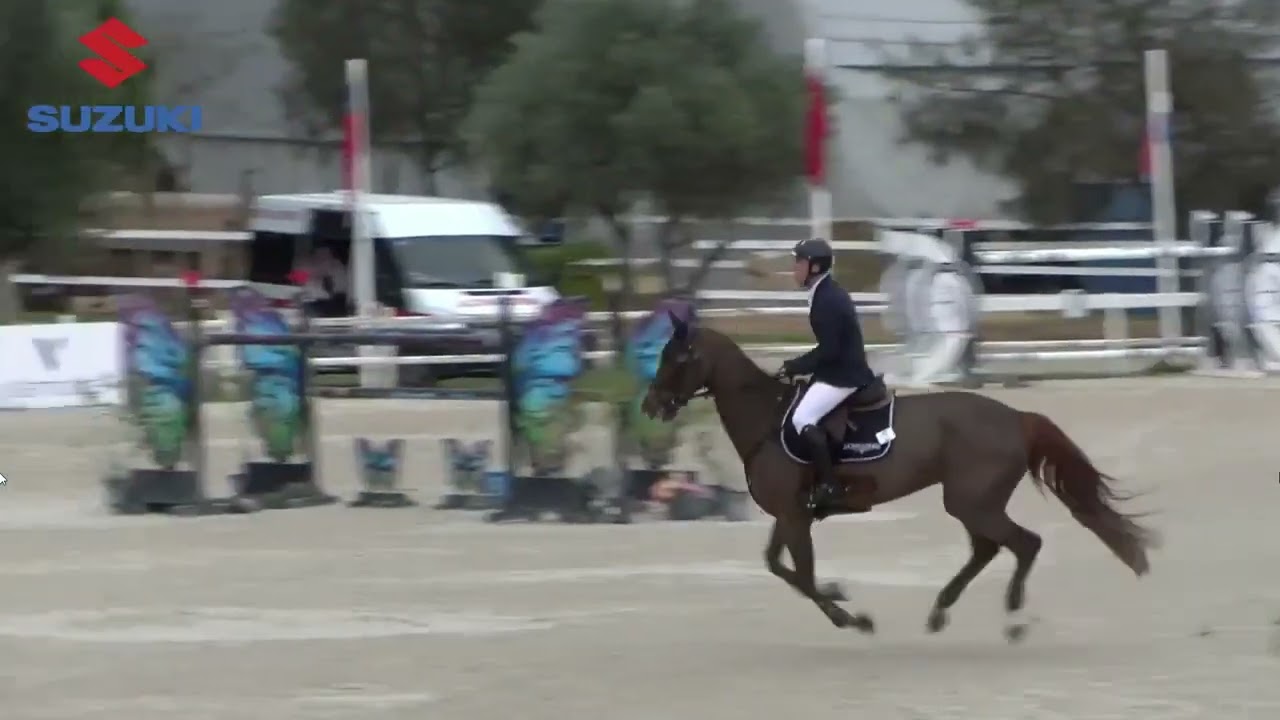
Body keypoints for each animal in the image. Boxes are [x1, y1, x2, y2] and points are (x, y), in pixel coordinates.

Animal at [640, 313, 1156, 641]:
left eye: (676, 357)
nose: (650, 406)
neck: (766, 420)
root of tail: (1015, 418)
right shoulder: (789, 515)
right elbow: (780, 567)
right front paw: (839, 594)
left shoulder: (794, 516)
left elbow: (801, 576)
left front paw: (852, 619)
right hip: (971, 502)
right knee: (987, 549)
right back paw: (940, 611)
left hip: (971, 501)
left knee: (1023, 544)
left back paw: (1011, 619)